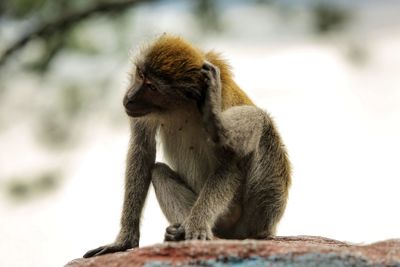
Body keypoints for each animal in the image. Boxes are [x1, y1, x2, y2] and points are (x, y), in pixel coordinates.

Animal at [84, 34, 290, 258]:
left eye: (152, 87)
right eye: (140, 74)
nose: (130, 97)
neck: (182, 105)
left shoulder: (222, 98)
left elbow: (228, 166)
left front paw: (197, 225)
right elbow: (142, 151)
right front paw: (125, 240)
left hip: (261, 214)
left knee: (262, 122)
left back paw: (217, 125)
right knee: (158, 171)